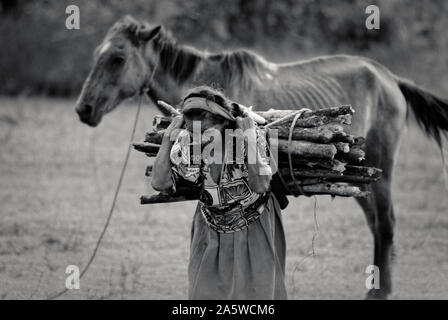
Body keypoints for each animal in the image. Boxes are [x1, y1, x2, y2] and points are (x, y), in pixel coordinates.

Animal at [75, 15, 448, 300]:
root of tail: (388, 77)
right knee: (376, 222)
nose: (84, 109)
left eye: (118, 59)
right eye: (97, 55)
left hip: (382, 164)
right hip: (358, 176)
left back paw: (379, 291)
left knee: (385, 223)